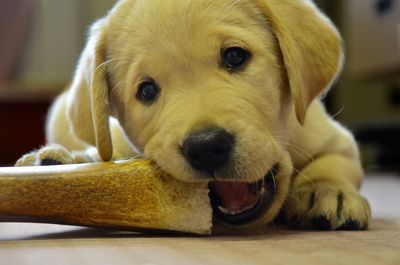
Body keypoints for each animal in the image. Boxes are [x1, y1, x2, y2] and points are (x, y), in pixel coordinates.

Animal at [16, 0, 372, 230]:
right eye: (147, 91)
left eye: (235, 56)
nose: (206, 146)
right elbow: (107, 157)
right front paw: (71, 163)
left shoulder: (333, 137)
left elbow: (334, 162)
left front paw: (326, 191)